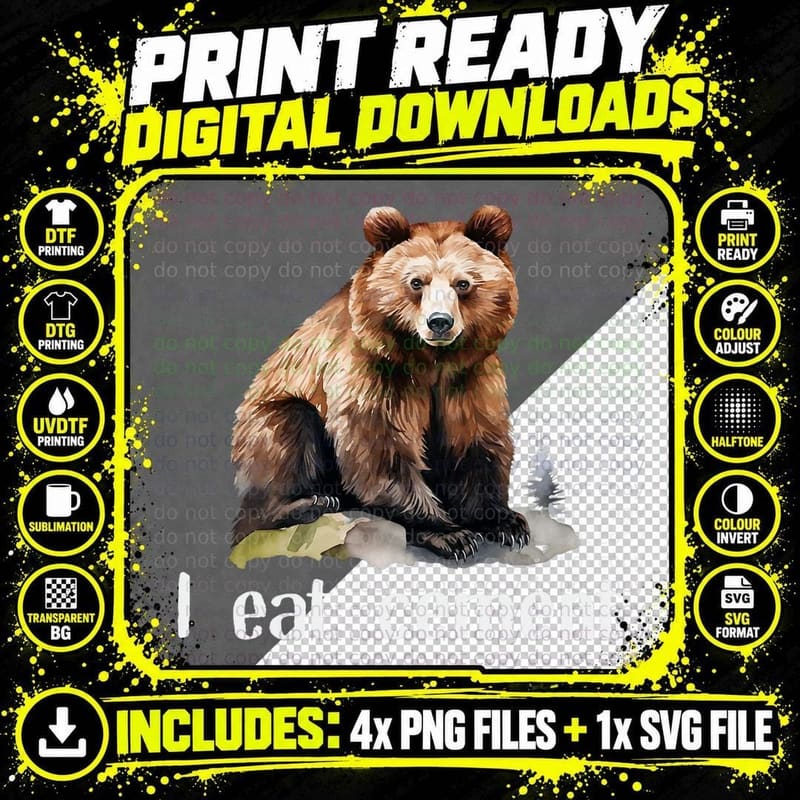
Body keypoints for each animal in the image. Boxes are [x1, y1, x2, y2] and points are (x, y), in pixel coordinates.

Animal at [230, 204, 529, 560]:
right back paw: (308, 502)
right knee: (288, 429)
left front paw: (505, 522)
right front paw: (451, 534)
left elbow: (476, 440)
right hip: (264, 422)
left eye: (463, 283)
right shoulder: (377, 371)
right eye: (416, 282)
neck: (431, 362)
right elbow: (380, 445)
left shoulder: (468, 379)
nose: (439, 322)